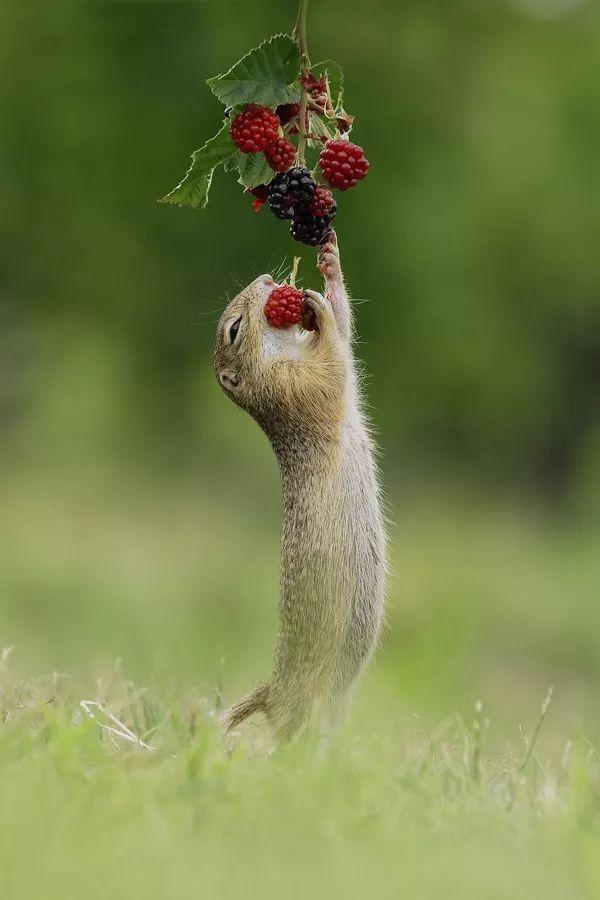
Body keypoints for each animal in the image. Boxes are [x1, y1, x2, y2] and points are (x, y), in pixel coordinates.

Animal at [213, 236, 386, 740]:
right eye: (234, 329)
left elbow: (346, 336)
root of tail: (272, 691)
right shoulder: (293, 387)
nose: (268, 280)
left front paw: (329, 267)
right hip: (306, 707)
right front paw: (318, 311)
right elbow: (333, 363)